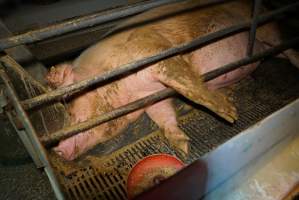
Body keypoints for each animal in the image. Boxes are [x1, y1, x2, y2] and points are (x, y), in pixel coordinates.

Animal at [46, 0, 299, 160]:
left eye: (68, 108)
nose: (57, 150)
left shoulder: (155, 51)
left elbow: (188, 85)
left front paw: (230, 115)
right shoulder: (152, 98)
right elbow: (163, 117)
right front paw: (183, 147)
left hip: (266, 28)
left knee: (288, 49)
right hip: (266, 46)